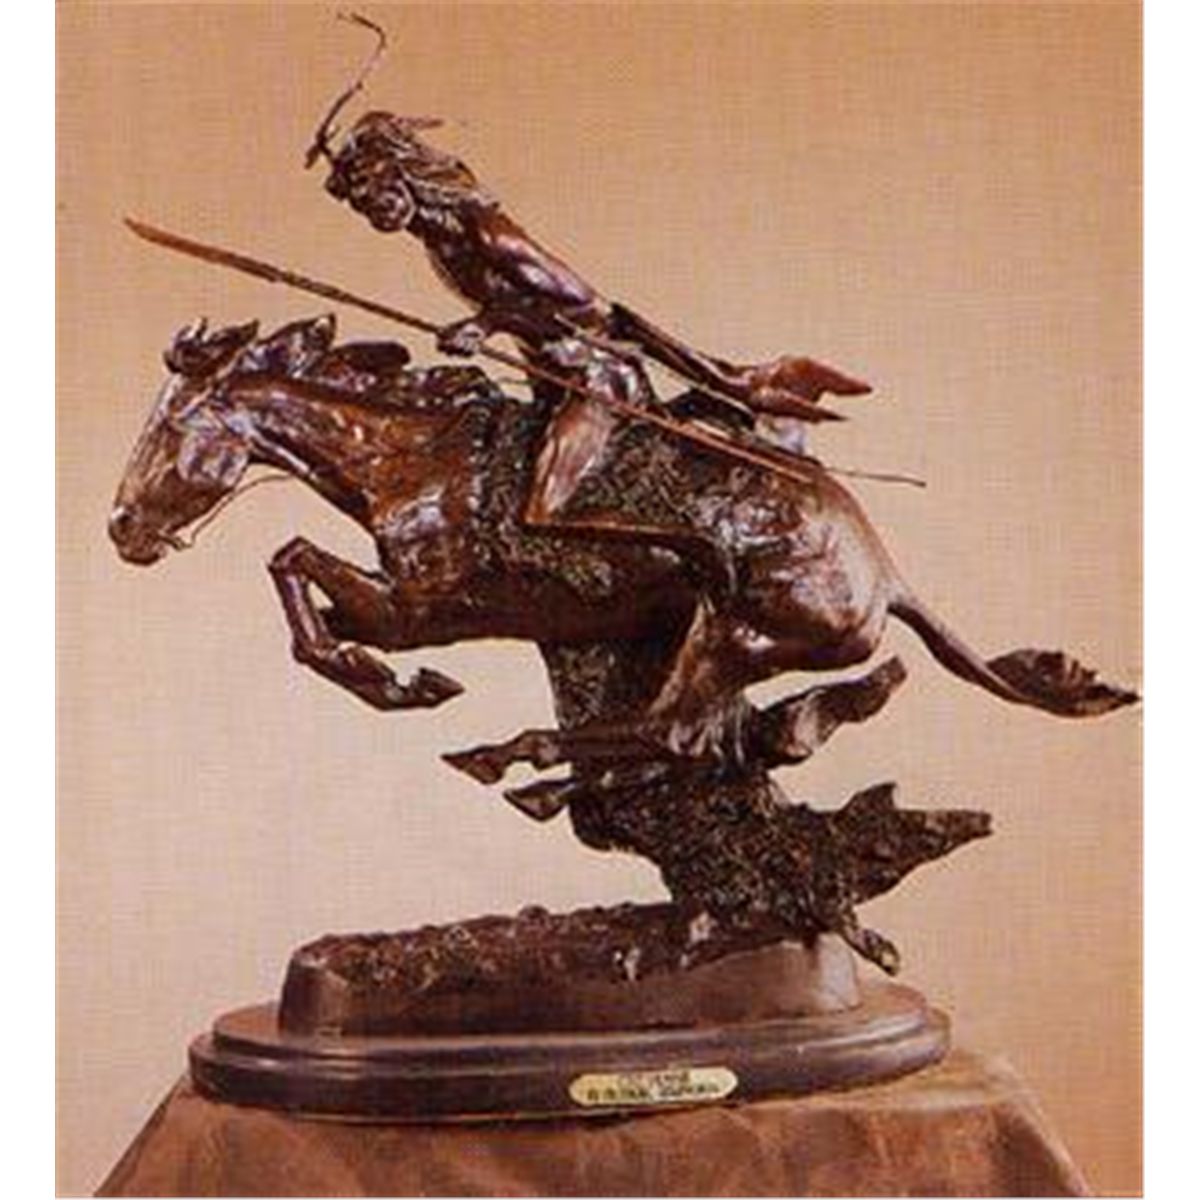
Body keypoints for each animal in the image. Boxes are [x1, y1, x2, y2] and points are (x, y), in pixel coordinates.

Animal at [109, 315, 1136, 794]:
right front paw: (387, 680)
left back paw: (508, 757)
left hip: (735, 629)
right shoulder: (403, 609)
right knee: (692, 736)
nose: (121, 530)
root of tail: (886, 577)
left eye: (168, 431)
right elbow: (298, 583)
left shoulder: (425, 608)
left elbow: (294, 569)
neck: (413, 458)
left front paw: (401, 689)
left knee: (674, 732)